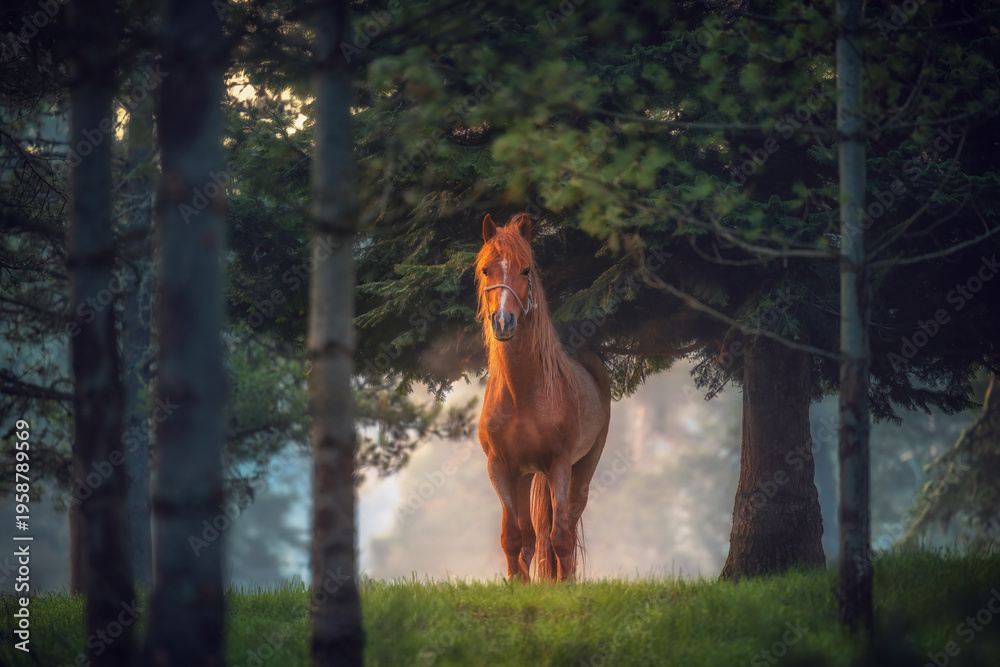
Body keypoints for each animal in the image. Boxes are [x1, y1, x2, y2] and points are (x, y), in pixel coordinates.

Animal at [475, 212, 612, 582]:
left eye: (525, 270)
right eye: (486, 270)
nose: (503, 321)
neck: (521, 394)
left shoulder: (559, 465)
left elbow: (560, 536)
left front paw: (564, 588)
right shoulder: (500, 467)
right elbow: (513, 537)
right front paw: (517, 585)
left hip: (583, 467)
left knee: (567, 525)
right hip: (523, 476)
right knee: (529, 536)